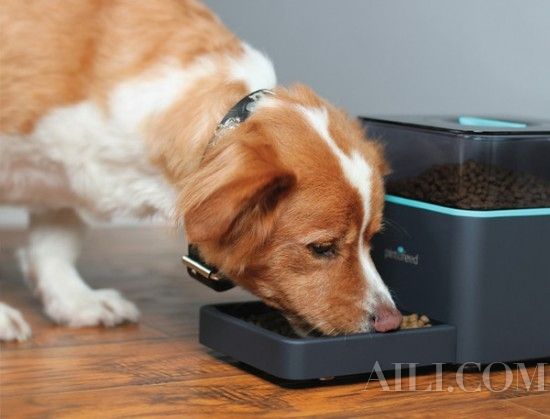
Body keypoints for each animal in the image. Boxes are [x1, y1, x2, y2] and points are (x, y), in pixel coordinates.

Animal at [0, 0, 402, 341]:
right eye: (321, 248)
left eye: (371, 239)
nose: (391, 322)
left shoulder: (64, 184)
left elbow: (56, 243)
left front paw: (74, 301)